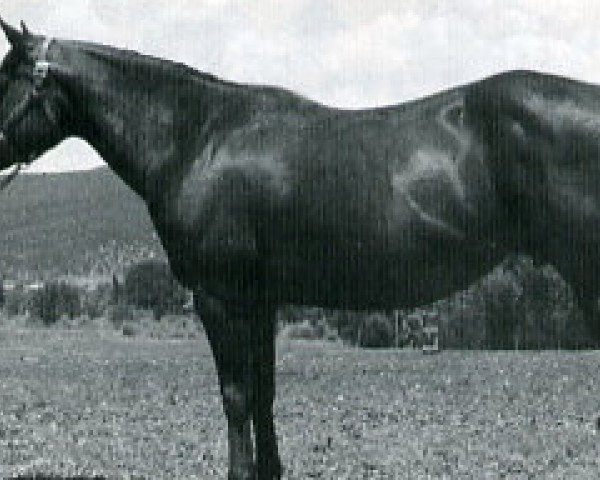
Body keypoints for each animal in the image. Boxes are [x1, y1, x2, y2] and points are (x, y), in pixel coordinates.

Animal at [1, 19, 600, 480]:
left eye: (8, 77)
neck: (199, 137)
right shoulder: (261, 299)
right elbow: (262, 391)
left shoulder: (220, 296)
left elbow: (236, 392)